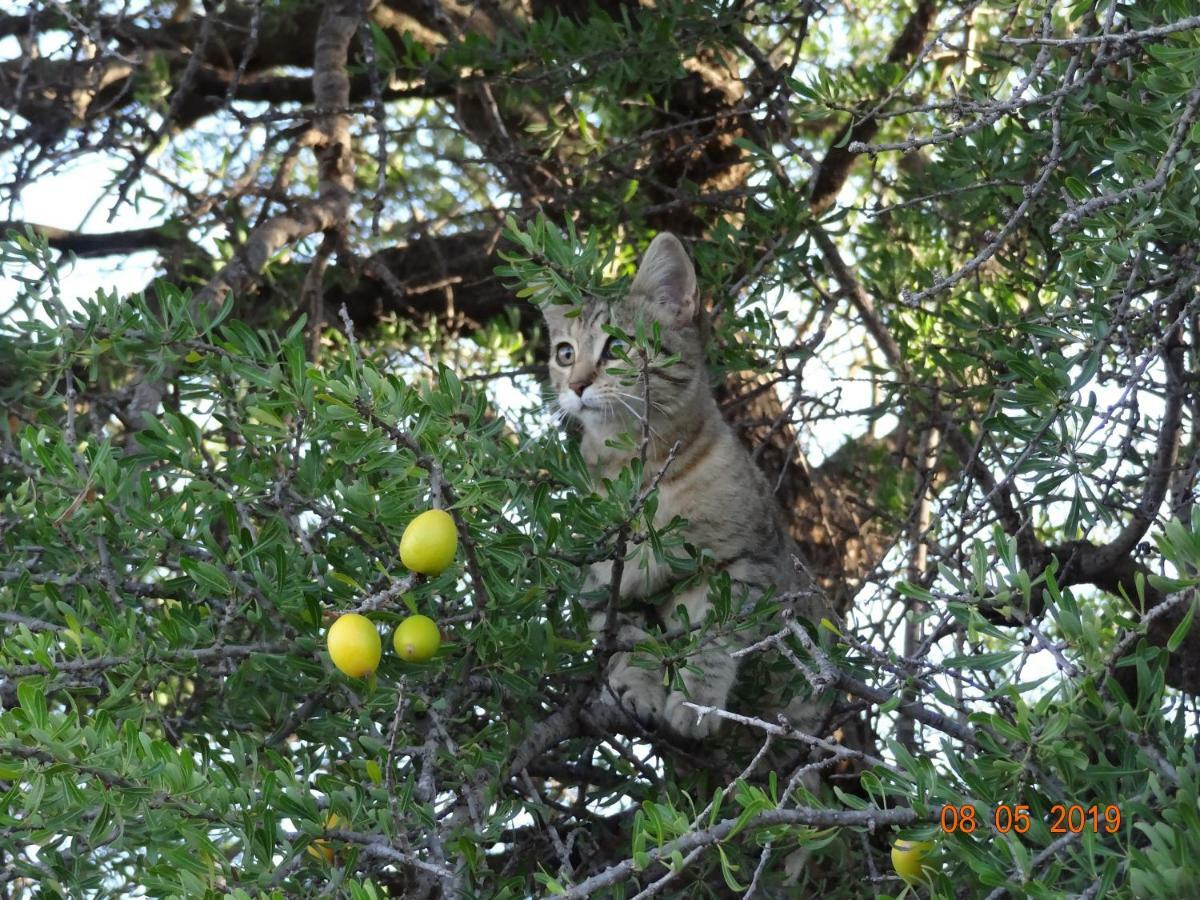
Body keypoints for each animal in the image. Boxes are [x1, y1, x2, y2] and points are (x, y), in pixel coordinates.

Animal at [542, 232, 825, 739]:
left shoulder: (742, 562)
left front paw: (696, 699)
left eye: (615, 347)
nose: (575, 385)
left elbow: (714, 637)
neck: (640, 472)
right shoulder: (605, 586)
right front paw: (640, 689)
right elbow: (629, 643)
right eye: (564, 353)